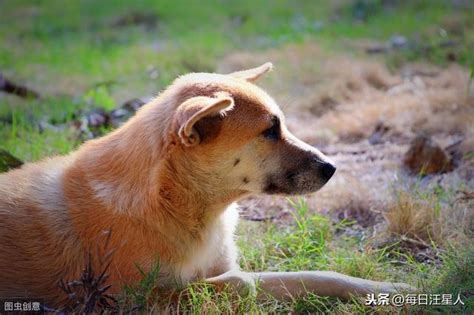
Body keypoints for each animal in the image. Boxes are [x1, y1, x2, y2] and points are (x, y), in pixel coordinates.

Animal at [0, 63, 412, 308]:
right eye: (270, 130)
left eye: (280, 124)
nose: (332, 168)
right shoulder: (130, 301)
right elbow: (239, 283)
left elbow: (318, 276)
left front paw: (397, 291)